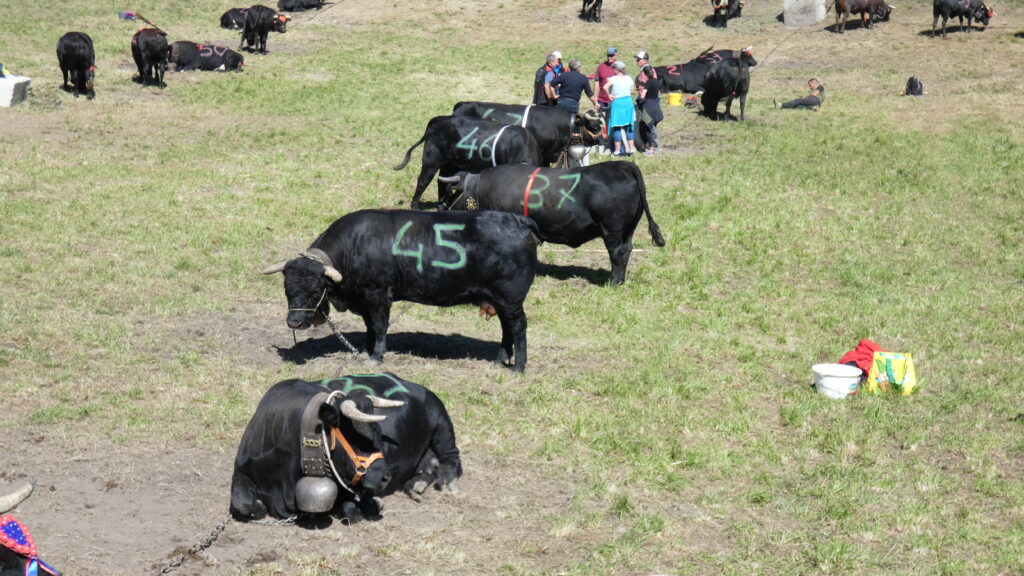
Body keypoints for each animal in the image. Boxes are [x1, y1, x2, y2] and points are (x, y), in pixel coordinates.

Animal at [230, 373, 462, 520]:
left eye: (378, 433)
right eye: (358, 439)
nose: (385, 477)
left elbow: (352, 510)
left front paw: (372, 504)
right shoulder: (240, 471)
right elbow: (242, 503)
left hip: (442, 424)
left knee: (451, 458)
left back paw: (447, 483)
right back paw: (417, 484)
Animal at [260, 208, 540, 368]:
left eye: (316, 291)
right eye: (287, 288)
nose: (294, 322)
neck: (357, 244)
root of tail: (517, 220)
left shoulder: (378, 295)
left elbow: (380, 325)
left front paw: (377, 357)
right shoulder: (365, 300)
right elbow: (370, 327)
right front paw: (368, 350)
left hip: (510, 299)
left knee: (518, 326)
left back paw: (519, 366)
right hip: (499, 299)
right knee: (506, 327)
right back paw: (501, 359)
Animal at [391, 114, 544, 208]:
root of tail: (437, 119)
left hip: (449, 165)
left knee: (442, 182)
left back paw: (441, 206)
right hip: (431, 162)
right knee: (423, 181)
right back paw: (415, 206)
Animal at [438, 158, 663, 284]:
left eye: (452, 192)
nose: (442, 209)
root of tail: (623, 166)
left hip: (612, 229)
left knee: (616, 252)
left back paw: (614, 281)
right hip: (628, 229)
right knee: (626, 250)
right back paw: (620, 280)